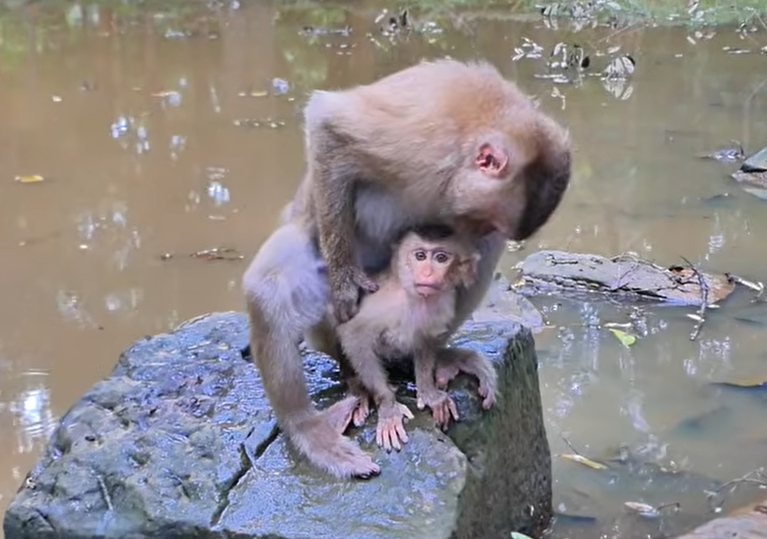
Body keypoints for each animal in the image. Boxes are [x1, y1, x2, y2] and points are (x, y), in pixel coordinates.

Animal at [334, 224, 497, 452]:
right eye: (420, 256)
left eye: (441, 258)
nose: (427, 273)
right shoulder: (384, 301)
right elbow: (353, 335)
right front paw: (388, 405)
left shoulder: (444, 301)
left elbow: (426, 339)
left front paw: (428, 392)